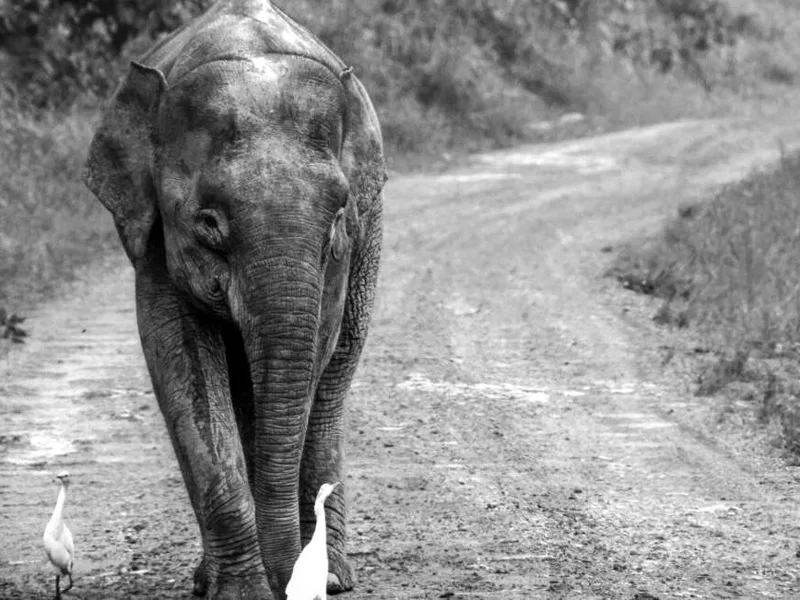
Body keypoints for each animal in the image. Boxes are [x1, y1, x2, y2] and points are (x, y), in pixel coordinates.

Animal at [82, 1, 386, 598]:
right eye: (208, 223)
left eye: (338, 215)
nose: (288, 581)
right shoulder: (152, 231)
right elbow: (180, 359)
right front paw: (242, 590)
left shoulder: (345, 247)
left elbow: (316, 347)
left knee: (337, 369)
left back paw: (333, 574)